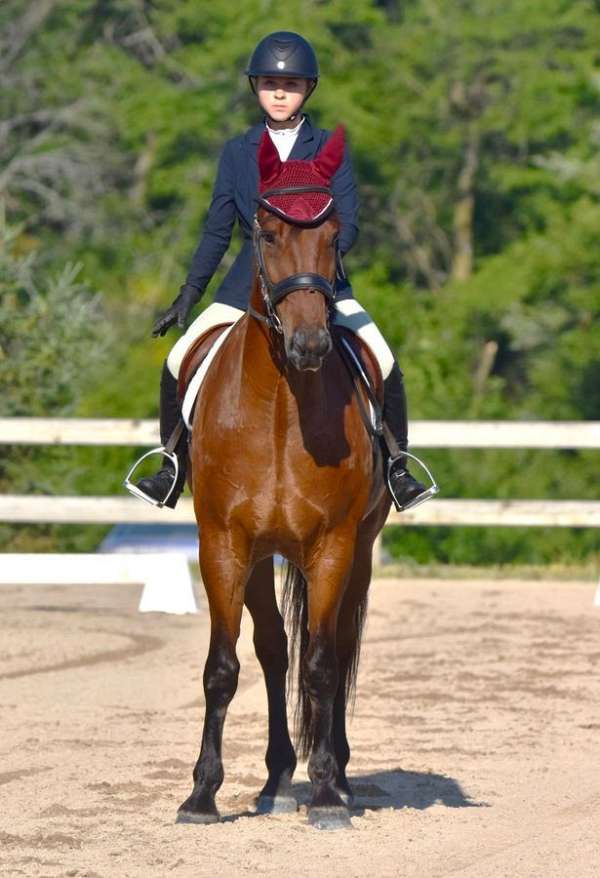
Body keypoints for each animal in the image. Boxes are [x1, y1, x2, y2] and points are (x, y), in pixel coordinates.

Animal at [176, 126, 391, 830]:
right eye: (265, 233)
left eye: (333, 235)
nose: (310, 346)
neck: (278, 408)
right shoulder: (223, 544)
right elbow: (224, 667)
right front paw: (201, 795)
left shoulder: (332, 546)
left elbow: (322, 666)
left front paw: (325, 793)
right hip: (260, 554)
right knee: (274, 648)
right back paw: (274, 780)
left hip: (359, 550)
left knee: (338, 643)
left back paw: (338, 777)